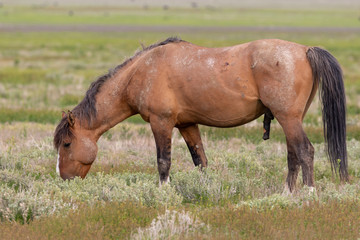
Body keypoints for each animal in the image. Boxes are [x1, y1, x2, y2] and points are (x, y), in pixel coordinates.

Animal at [52, 36, 346, 193]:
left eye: (66, 144)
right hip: (289, 120)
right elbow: (200, 160)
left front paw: (162, 192)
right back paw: (287, 192)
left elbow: (163, 161)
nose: (63, 179)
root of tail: (305, 49)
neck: (141, 72)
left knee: (305, 151)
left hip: (288, 118)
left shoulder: (161, 123)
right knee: (293, 153)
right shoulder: (187, 125)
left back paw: (307, 193)